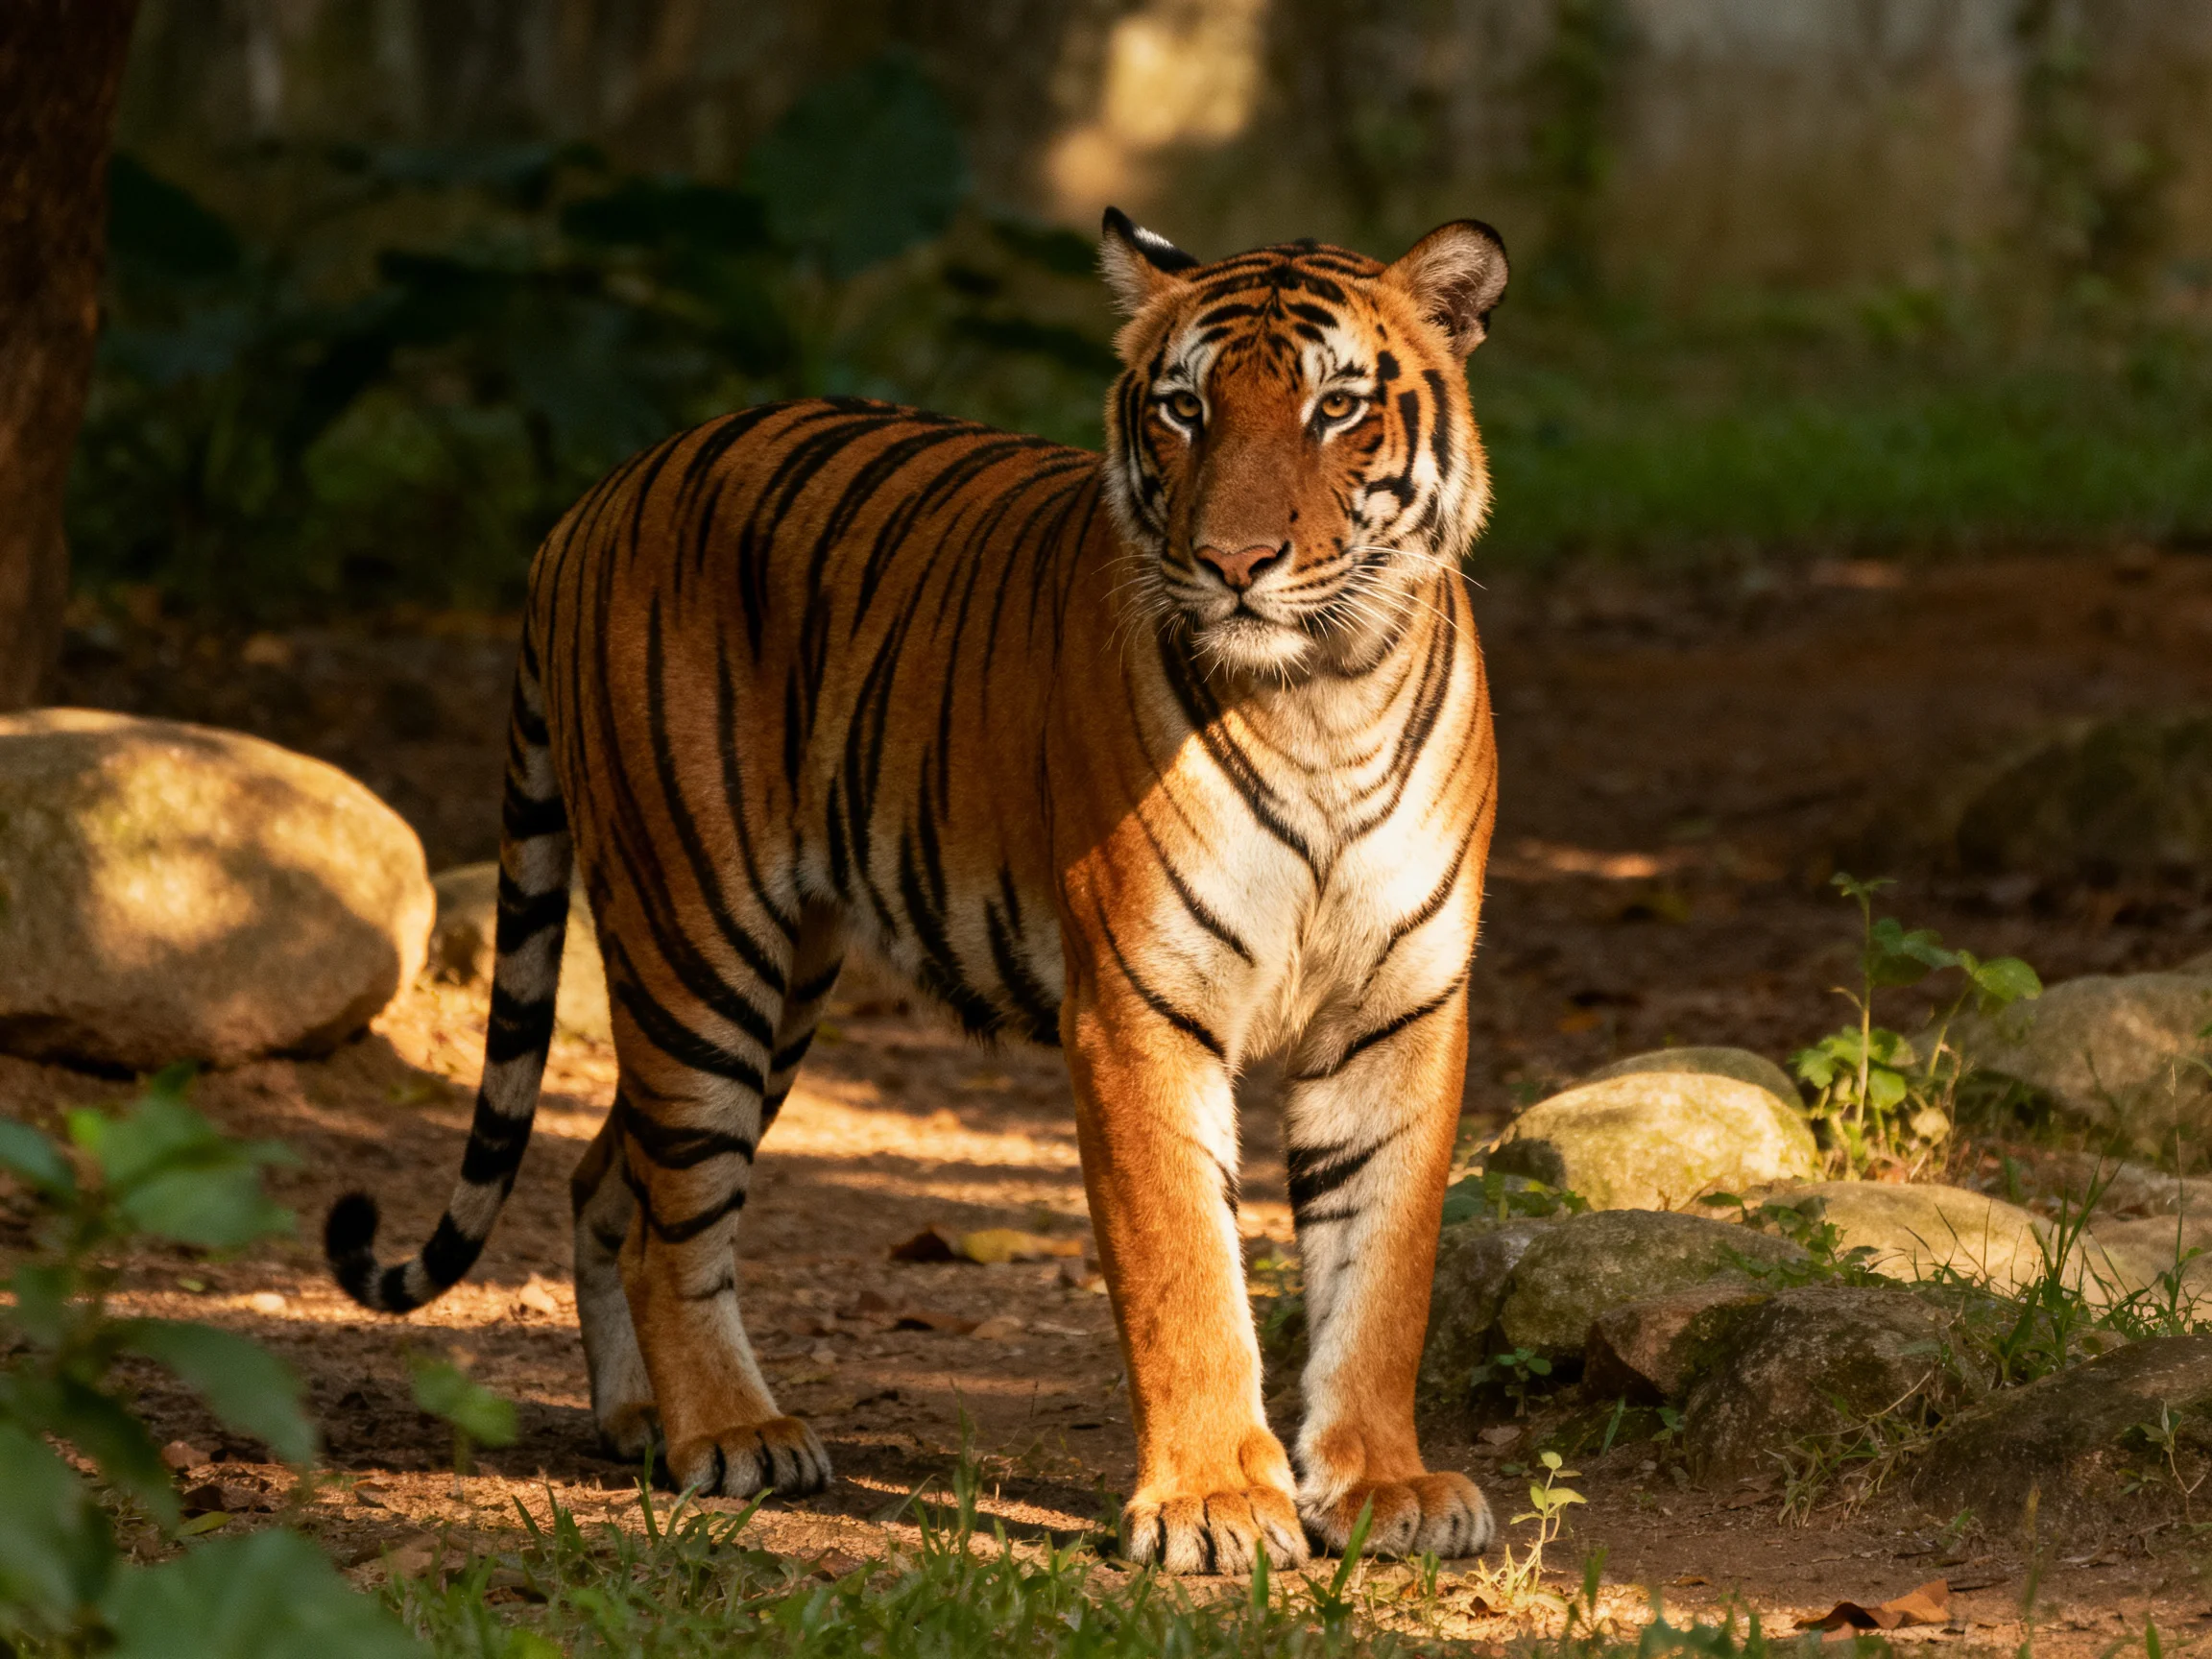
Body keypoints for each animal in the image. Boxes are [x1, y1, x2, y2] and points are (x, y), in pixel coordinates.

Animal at [327, 207, 1509, 1575]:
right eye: (1184, 410)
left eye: (1335, 408)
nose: (1233, 563)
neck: (1325, 696)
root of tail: (593, 499)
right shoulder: (1139, 1007)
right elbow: (1186, 1269)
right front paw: (1214, 1503)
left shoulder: (1400, 1009)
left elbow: (1383, 1266)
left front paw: (1383, 1486)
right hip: (699, 941)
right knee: (678, 1214)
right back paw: (730, 1434)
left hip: (784, 977)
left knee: (606, 1176)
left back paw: (643, 1422)